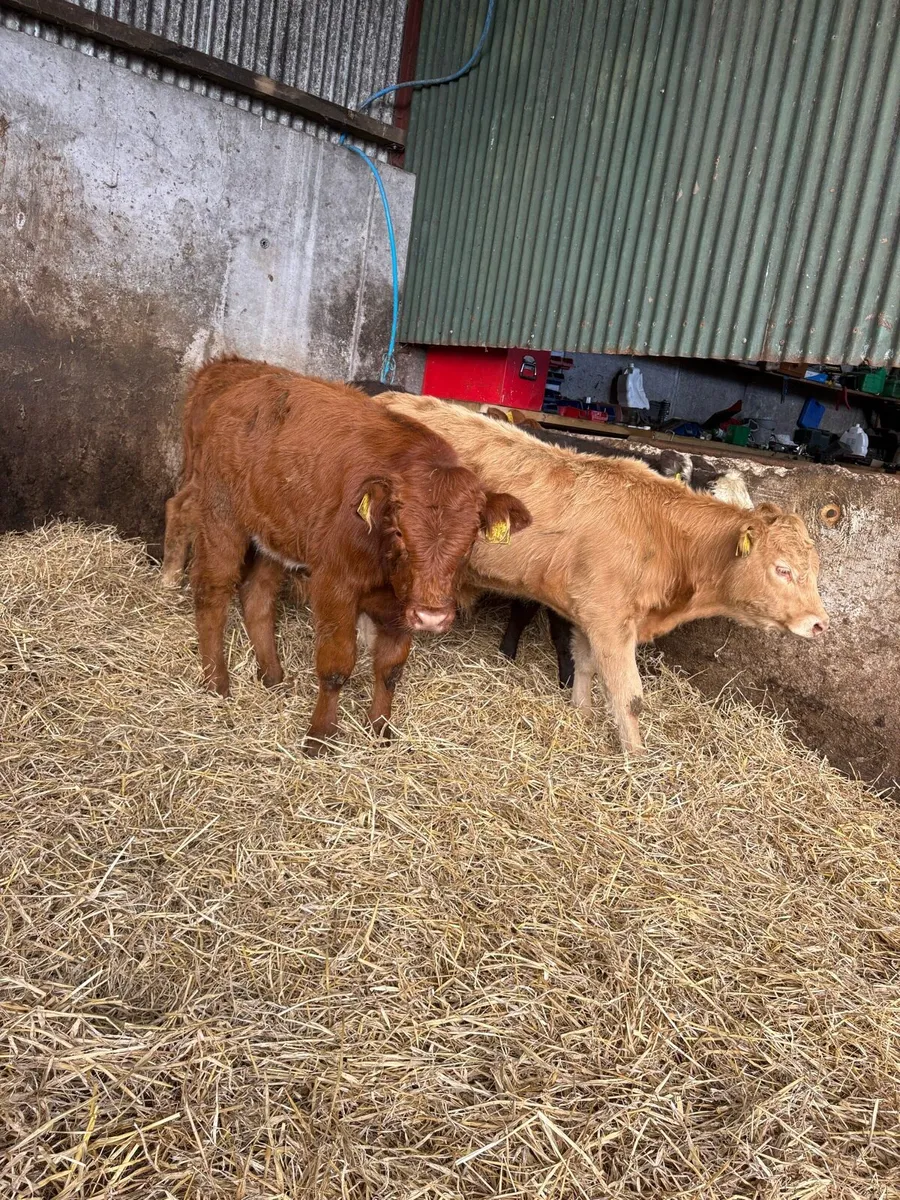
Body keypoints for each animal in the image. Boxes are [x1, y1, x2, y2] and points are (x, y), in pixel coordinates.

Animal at [183, 364, 531, 753]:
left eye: (472, 536)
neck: (385, 569)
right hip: (221, 516)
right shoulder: (335, 586)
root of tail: (241, 382)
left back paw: (272, 675)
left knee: (257, 596)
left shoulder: (401, 606)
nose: (432, 616)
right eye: (399, 531)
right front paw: (320, 736)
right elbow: (336, 665)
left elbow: (391, 668)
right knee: (212, 593)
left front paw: (379, 729)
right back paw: (216, 683)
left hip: (274, 535)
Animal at [374, 391, 828, 755]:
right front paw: (637, 758)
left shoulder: (589, 613)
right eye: (782, 570)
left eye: (815, 570)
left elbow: (585, 664)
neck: (661, 531)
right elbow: (629, 695)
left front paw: (582, 713)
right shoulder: (610, 619)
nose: (820, 623)